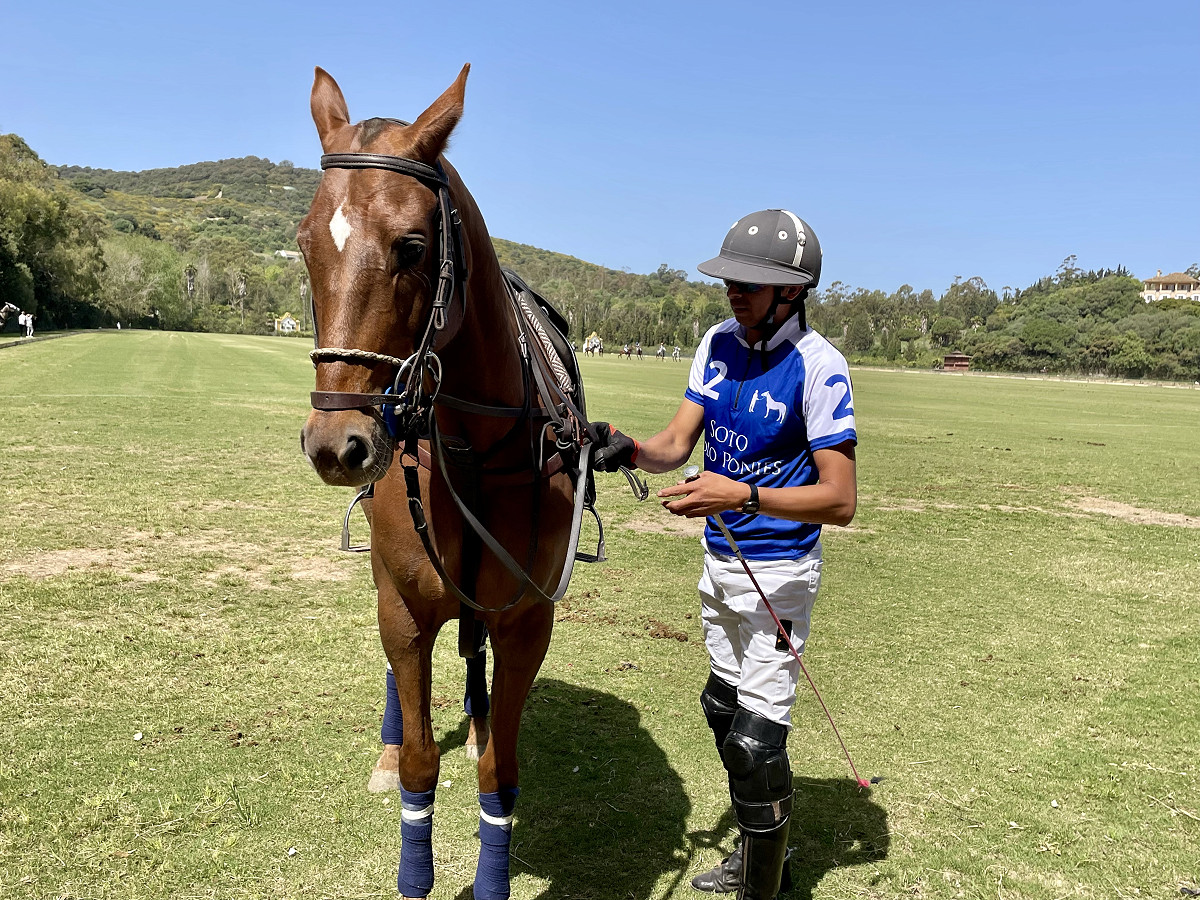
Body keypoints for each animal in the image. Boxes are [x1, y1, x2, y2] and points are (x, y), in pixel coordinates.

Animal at [298, 66, 597, 900]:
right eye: (305, 245)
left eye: (411, 245)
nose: (338, 446)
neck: (470, 443)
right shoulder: (402, 605)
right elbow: (419, 760)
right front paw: (414, 855)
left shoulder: (528, 615)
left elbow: (502, 770)